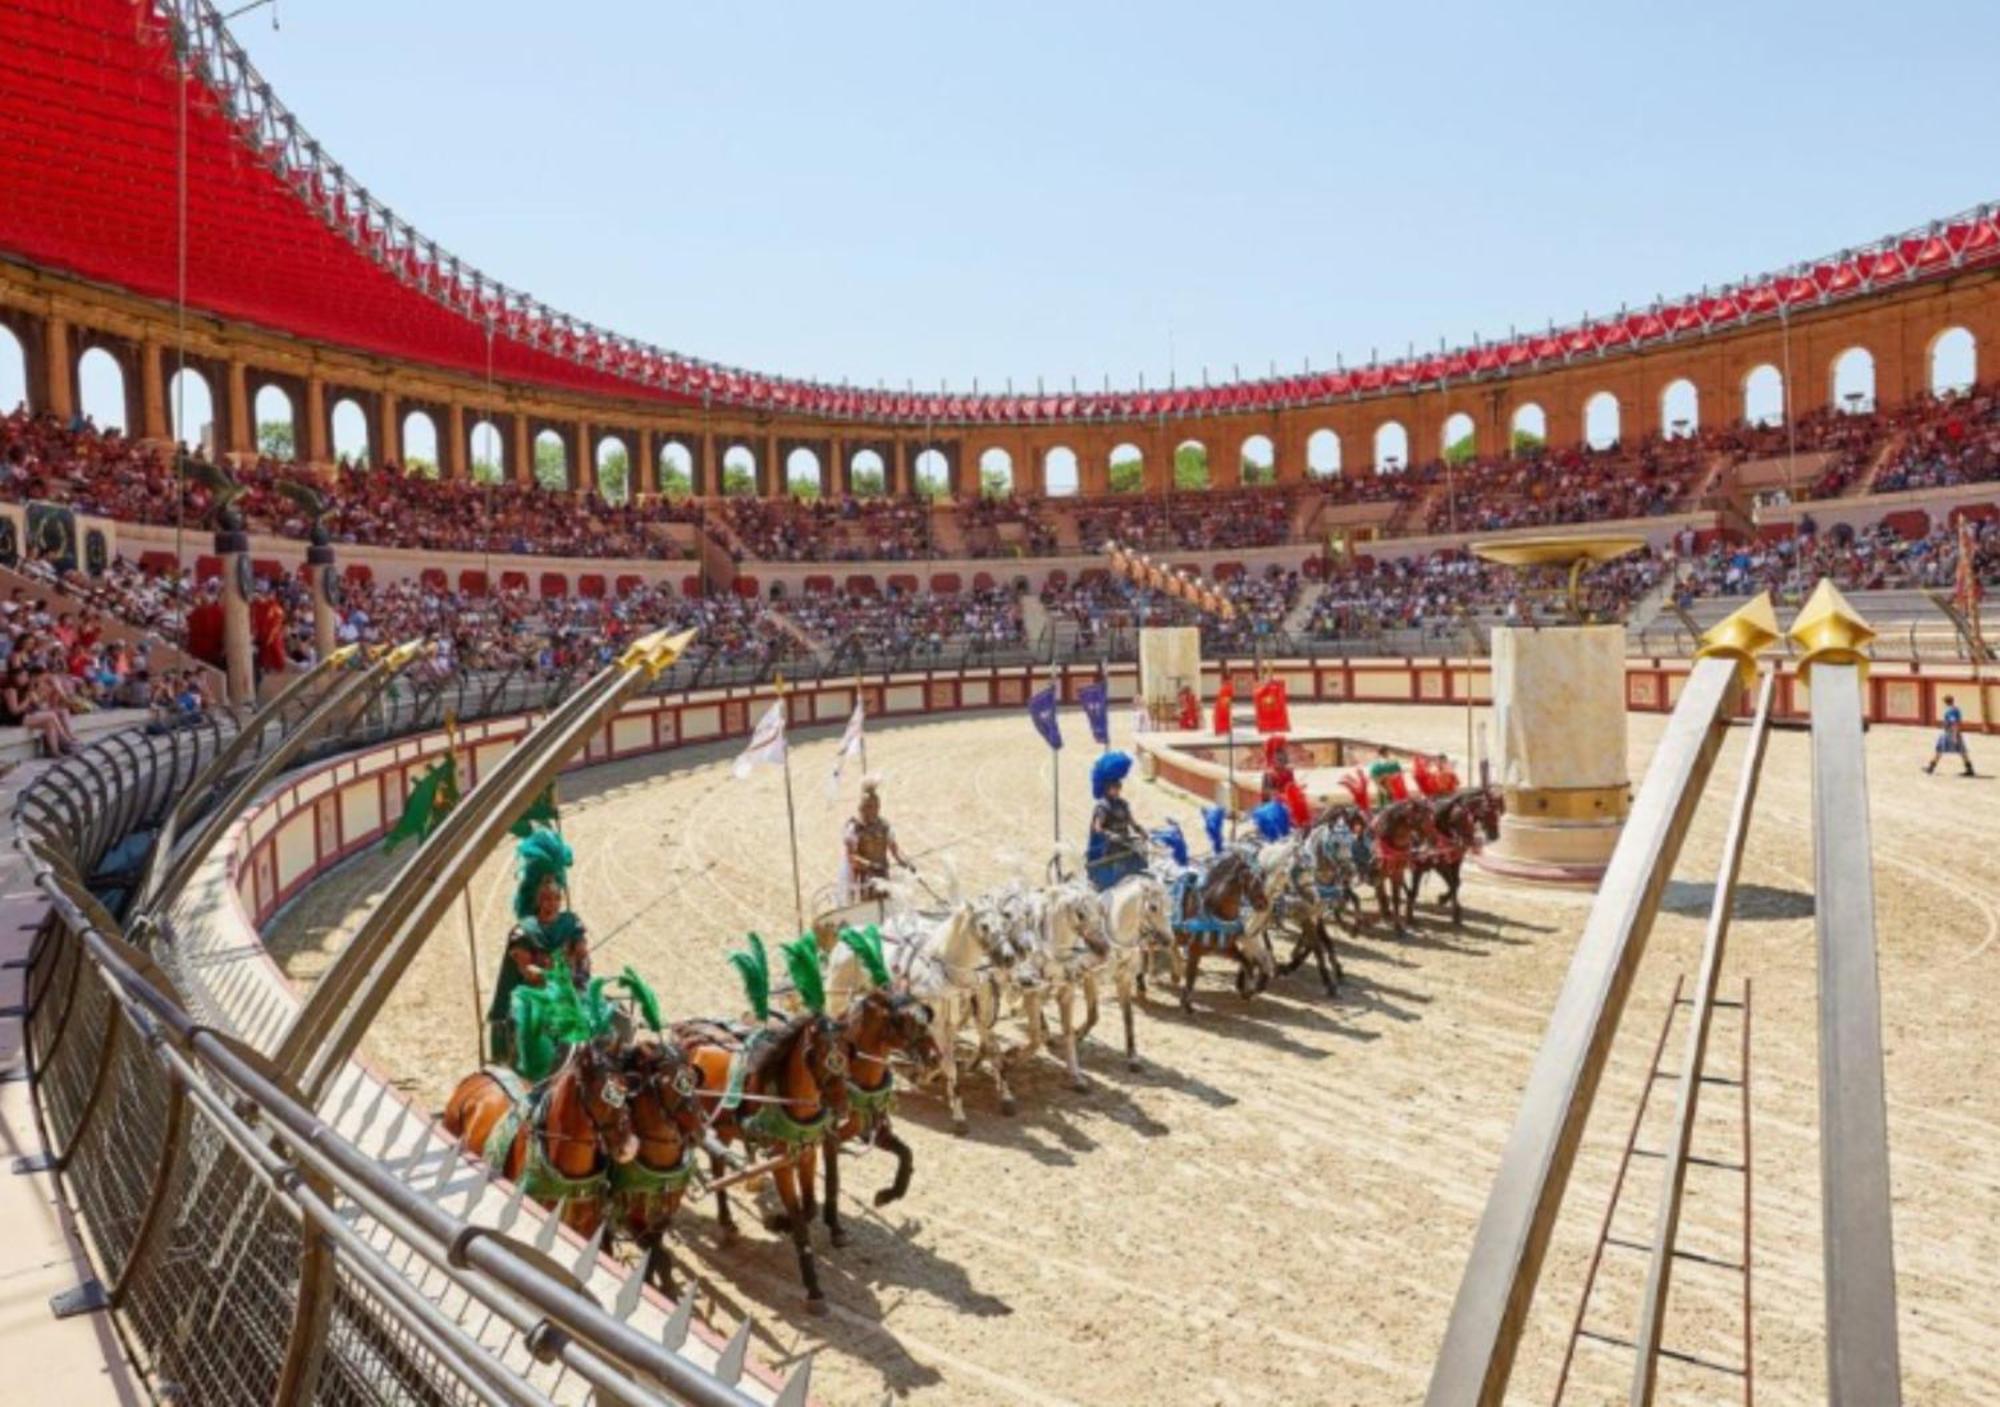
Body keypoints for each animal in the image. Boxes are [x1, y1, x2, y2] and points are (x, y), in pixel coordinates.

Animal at [612, 1031, 716, 1295]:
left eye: (692, 1080)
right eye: (667, 1085)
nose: (699, 1130)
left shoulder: (662, 1219)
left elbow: (657, 1255)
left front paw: (662, 1285)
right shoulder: (630, 1218)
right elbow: (658, 1256)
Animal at [680, 1011, 852, 1311]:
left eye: (848, 1051)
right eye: (817, 1055)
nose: (841, 1105)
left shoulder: (806, 1153)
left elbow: (809, 1208)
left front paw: (777, 1222)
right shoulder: (780, 1162)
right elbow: (800, 1220)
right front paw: (814, 1288)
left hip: (723, 1128)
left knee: (718, 1167)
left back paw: (726, 1222)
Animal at [820, 983, 944, 1247]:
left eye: (926, 1018)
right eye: (907, 1022)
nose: (936, 1058)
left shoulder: (874, 1130)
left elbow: (906, 1154)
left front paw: (888, 1194)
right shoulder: (829, 1138)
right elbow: (833, 1179)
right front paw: (835, 1227)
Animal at [1168, 847, 1272, 1011]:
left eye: (1263, 875)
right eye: (1248, 877)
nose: (1263, 904)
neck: (1214, 912)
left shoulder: (1226, 948)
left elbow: (1247, 963)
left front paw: (1248, 990)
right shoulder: (1195, 950)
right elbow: (1191, 976)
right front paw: (1186, 1004)